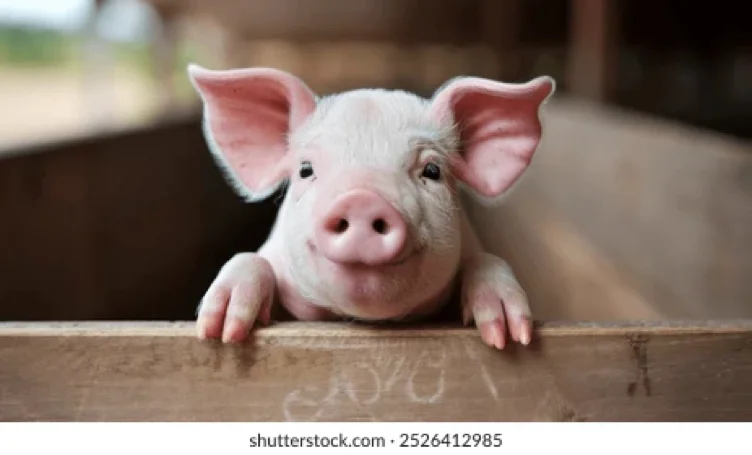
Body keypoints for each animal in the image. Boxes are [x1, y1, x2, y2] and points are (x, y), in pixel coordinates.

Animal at [187, 63, 555, 349]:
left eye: (432, 171)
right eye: (305, 169)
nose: (361, 199)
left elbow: (487, 261)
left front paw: (509, 335)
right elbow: (250, 259)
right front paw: (219, 331)